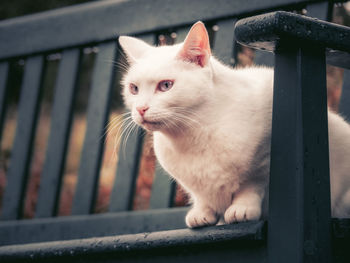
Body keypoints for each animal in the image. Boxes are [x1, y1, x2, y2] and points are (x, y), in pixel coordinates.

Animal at [119, 21, 350, 228]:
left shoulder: (263, 160)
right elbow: (201, 196)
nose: (140, 109)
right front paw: (202, 212)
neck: (195, 133)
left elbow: (250, 187)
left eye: (166, 85)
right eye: (133, 89)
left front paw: (242, 209)